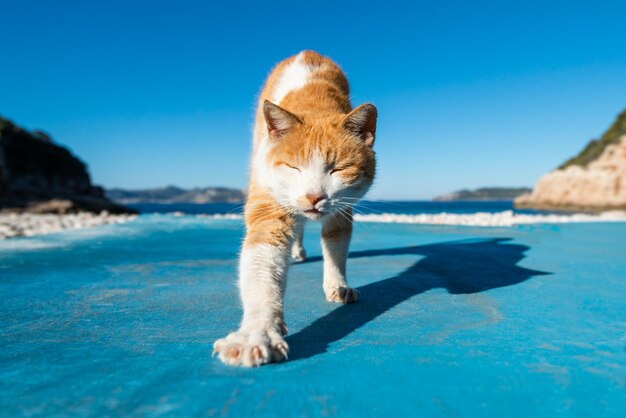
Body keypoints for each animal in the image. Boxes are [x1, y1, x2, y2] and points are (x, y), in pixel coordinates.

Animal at [212, 50, 376, 368]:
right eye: (293, 167)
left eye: (338, 169)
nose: (314, 197)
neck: (314, 100)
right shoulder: (269, 207)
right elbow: (263, 272)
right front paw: (256, 334)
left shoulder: (342, 208)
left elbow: (336, 248)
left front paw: (338, 284)